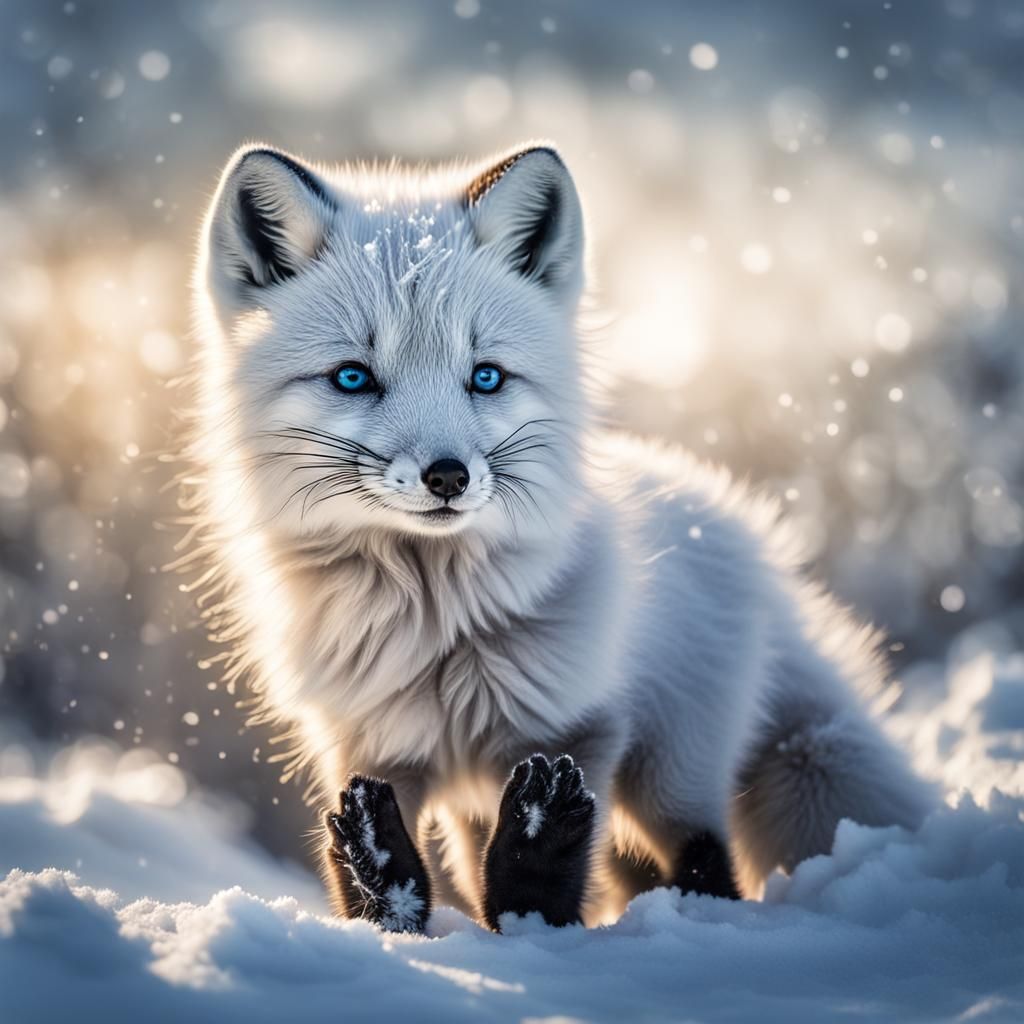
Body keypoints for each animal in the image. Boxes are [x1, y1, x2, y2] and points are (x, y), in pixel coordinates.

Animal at [188, 141, 934, 933]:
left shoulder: (576, 730)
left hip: (675, 768)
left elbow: (535, 889)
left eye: (486, 377)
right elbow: (381, 894)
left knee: (703, 866)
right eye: (353, 377)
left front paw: (536, 876)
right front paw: (378, 867)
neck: (436, 629)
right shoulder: (371, 746)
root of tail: (753, 536)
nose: (448, 476)